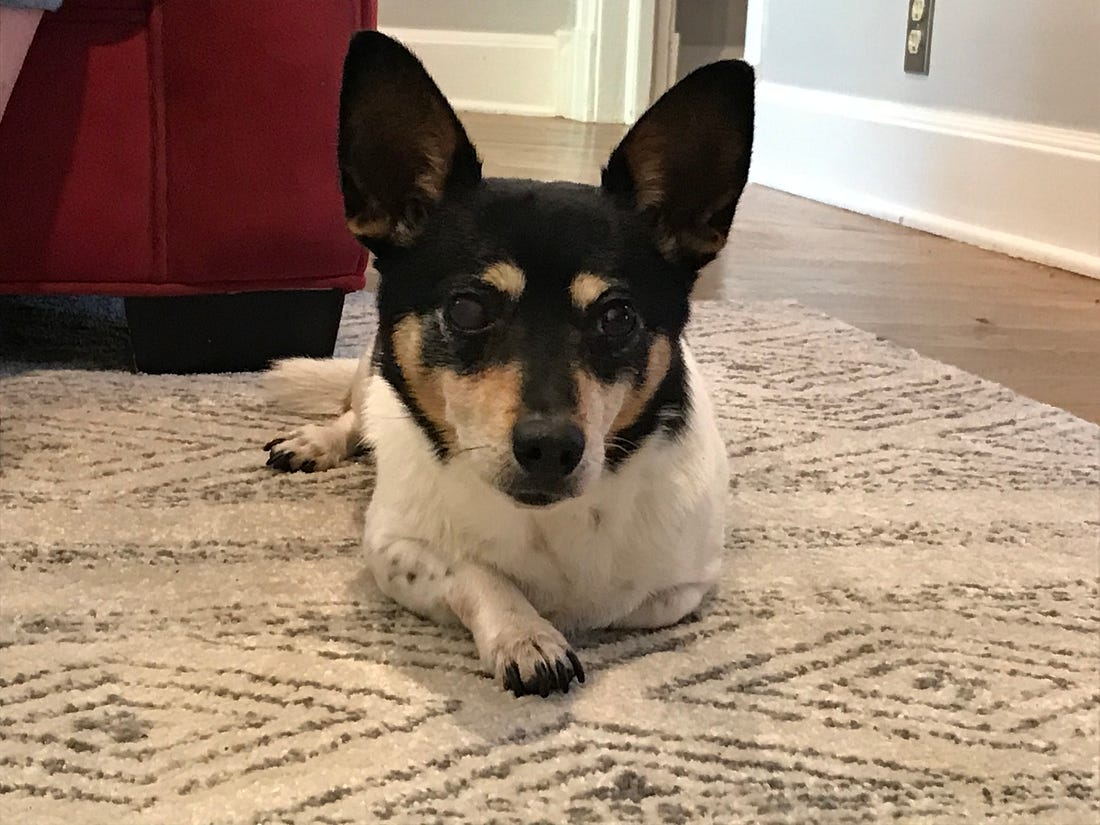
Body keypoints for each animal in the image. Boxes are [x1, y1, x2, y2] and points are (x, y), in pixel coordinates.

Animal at [262, 32, 754, 697]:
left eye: (617, 317)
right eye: (468, 309)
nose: (551, 447)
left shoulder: (682, 585)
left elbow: (619, 599)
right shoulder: (392, 549)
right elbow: (474, 572)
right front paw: (526, 632)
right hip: (371, 371)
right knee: (356, 415)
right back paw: (316, 441)